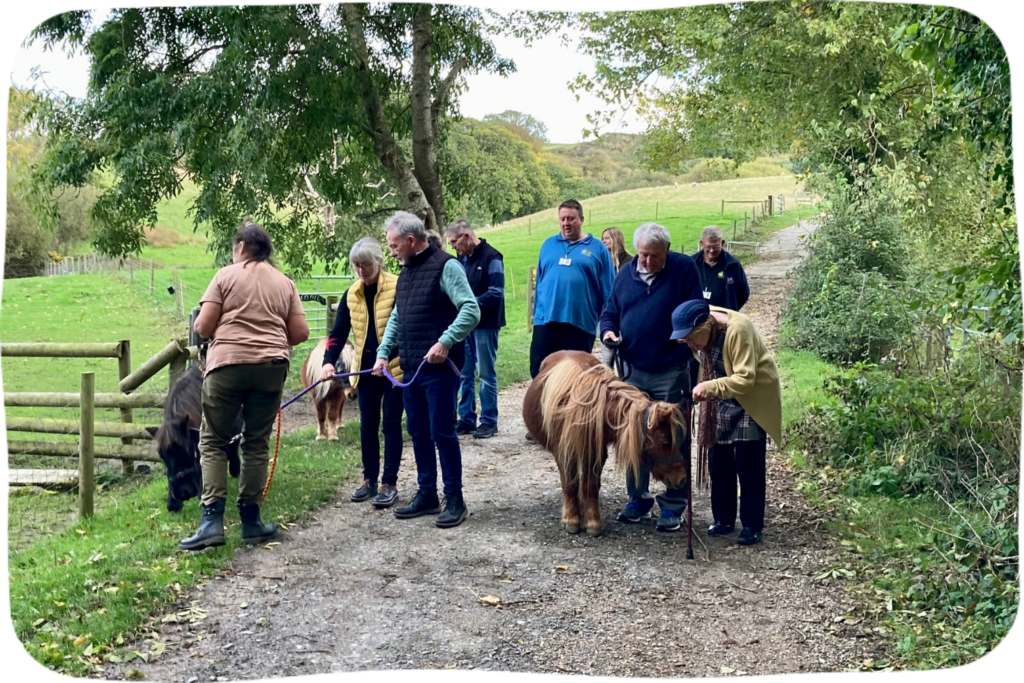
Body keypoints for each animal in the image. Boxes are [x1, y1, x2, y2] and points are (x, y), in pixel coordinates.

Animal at [520, 352, 688, 540]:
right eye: (665, 442)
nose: (682, 478)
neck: (588, 411)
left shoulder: (597, 454)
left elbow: (591, 486)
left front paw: (592, 522)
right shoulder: (564, 454)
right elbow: (570, 485)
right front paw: (572, 519)